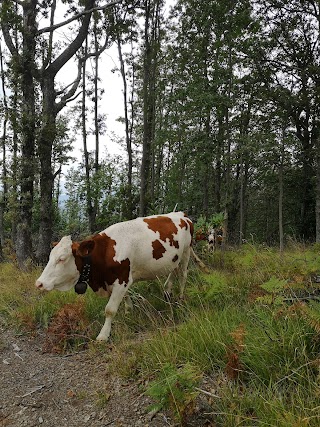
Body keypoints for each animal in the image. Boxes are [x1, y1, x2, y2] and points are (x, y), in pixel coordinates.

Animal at [35, 212, 195, 342]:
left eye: (62, 259)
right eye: (50, 257)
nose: (39, 283)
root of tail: (181, 214)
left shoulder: (122, 279)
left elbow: (110, 309)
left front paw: (103, 335)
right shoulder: (119, 280)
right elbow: (125, 297)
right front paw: (128, 312)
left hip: (186, 252)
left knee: (182, 275)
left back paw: (180, 300)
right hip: (174, 258)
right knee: (173, 272)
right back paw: (167, 292)